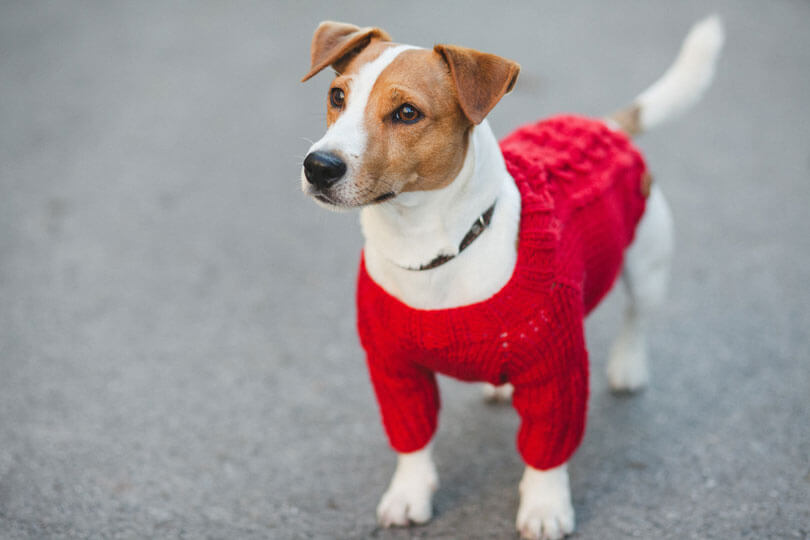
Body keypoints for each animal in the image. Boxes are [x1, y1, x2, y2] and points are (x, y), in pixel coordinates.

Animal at [300, 16, 724, 540]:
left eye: (406, 113)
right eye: (337, 96)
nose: (318, 166)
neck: (429, 250)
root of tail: (605, 125)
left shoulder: (556, 374)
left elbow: (547, 448)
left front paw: (544, 506)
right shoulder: (394, 370)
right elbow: (412, 440)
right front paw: (408, 494)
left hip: (647, 264)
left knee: (636, 317)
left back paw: (628, 366)